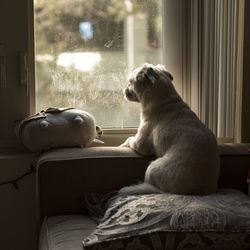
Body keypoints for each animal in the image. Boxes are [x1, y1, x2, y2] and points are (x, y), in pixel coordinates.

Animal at [120, 63, 220, 195]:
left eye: (131, 82)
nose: (124, 89)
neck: (164, 101)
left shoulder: (141, 143)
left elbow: (130, 139)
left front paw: (123, 144)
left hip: (152, 168)